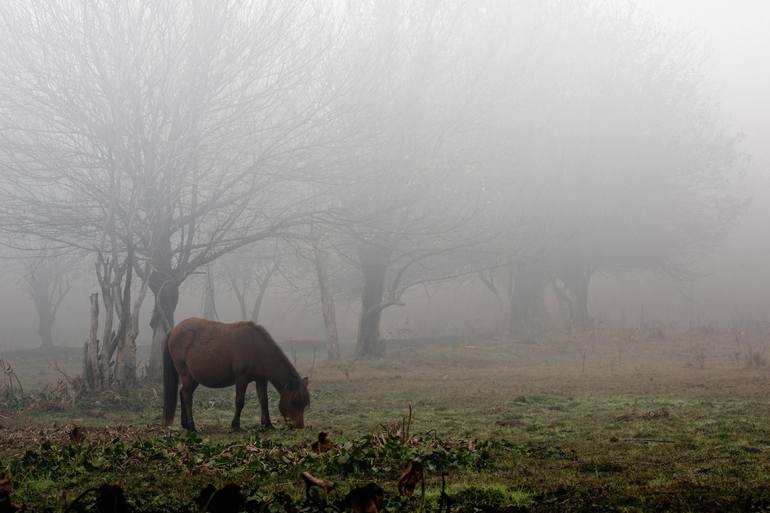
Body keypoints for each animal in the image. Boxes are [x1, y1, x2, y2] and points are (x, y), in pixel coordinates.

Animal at [162, 318, 308, 430]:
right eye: (294, 402)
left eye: (305, 404)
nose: (299, 425)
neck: (256, 346)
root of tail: (174, 331)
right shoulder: (241, 378)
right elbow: (239, 401)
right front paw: (235, 425)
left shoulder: (261, 379)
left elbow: (264, 401)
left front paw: (267, 424)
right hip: (188, 376)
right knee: (187, 396)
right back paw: (191, 425)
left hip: (192, 379)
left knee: (182, 393)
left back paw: (185, 424)